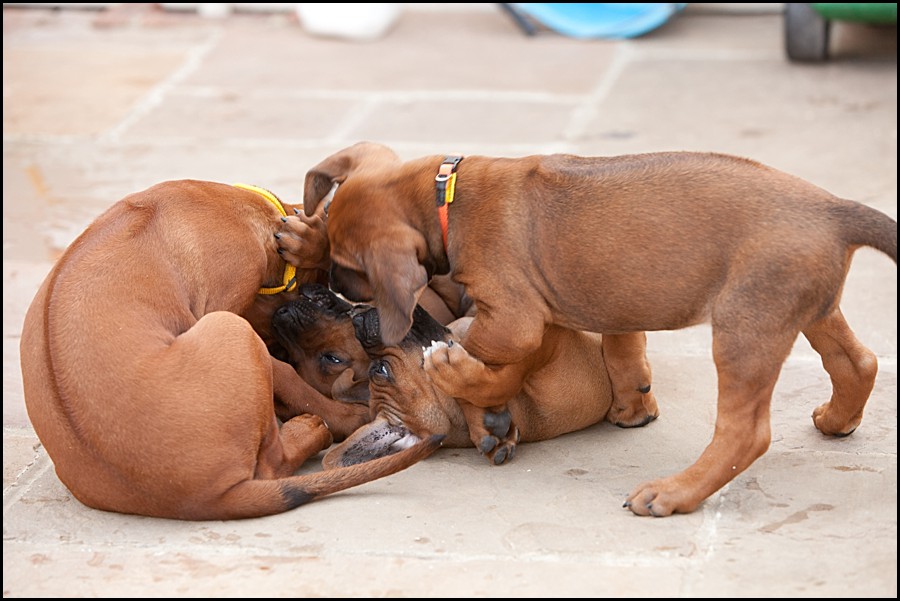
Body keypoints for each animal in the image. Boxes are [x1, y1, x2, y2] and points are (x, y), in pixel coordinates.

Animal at [19, 179, 442, 520]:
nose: (298, 309)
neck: (240, 207)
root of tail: (203, 500)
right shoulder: (227, 302)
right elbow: (287, 375)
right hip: (230, 329)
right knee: (272, 463)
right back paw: (310, 428)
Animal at [298, 141, 896, 516]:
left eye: (347, 265)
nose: (343, 300)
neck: (451, 196)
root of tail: (834, 211)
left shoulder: (515, 317)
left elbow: (484, 353)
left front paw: (468, 382)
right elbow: (619, 343)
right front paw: (631, 402)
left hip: (745, 329)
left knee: (745, 433)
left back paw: (674, 494)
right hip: (805, 306)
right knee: (857, 361)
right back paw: (838, 418)